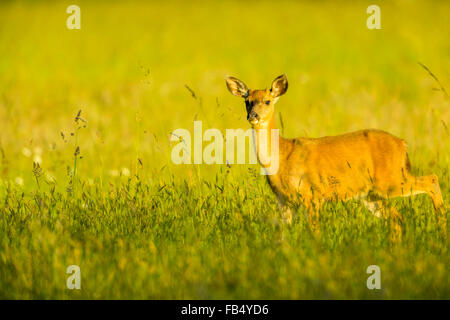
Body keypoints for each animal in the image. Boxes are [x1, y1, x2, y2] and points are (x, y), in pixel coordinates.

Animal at [227, 74, 444, 236]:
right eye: (247, 101)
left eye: (267, 101)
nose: (253, 116)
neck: (282, 155)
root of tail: (402, 144)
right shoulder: (284, 202)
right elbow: (283, 235)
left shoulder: (312, 194)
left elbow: (314, 232)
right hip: (371, 194)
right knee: (397, 217)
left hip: (390, 180)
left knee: (431, 180)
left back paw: (441, 228)